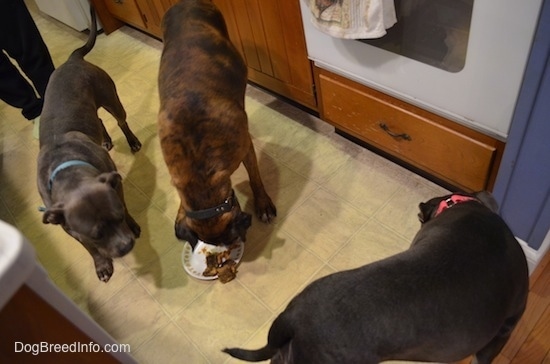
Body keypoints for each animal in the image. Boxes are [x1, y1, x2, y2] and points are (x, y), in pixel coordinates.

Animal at [35, 7, 141, 282]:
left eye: (118, 216)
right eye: (96, 234)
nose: (126, 245)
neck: (69, 171)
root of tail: (72, 60)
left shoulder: (116, 188)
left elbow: (126, 205)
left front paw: (133, 224)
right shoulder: (69, 228)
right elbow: (89, 249)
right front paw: (101, 264)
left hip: (111, 99)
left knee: (121, 121)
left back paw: (132, 141)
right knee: (100, 120)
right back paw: (105, 139)